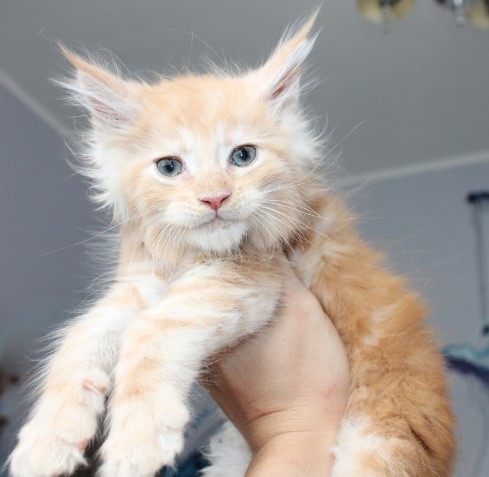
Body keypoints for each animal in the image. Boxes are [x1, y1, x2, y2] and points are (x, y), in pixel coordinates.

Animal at [6, 13, 454, 474]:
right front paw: (45, 440)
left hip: (383, 435)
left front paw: (137, 438)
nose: (215, 198)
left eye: (243, 156)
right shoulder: (140, 284)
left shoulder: (249, 277)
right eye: (170, 167)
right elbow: (79, 338)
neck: (195, 258)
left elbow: (153, 331)